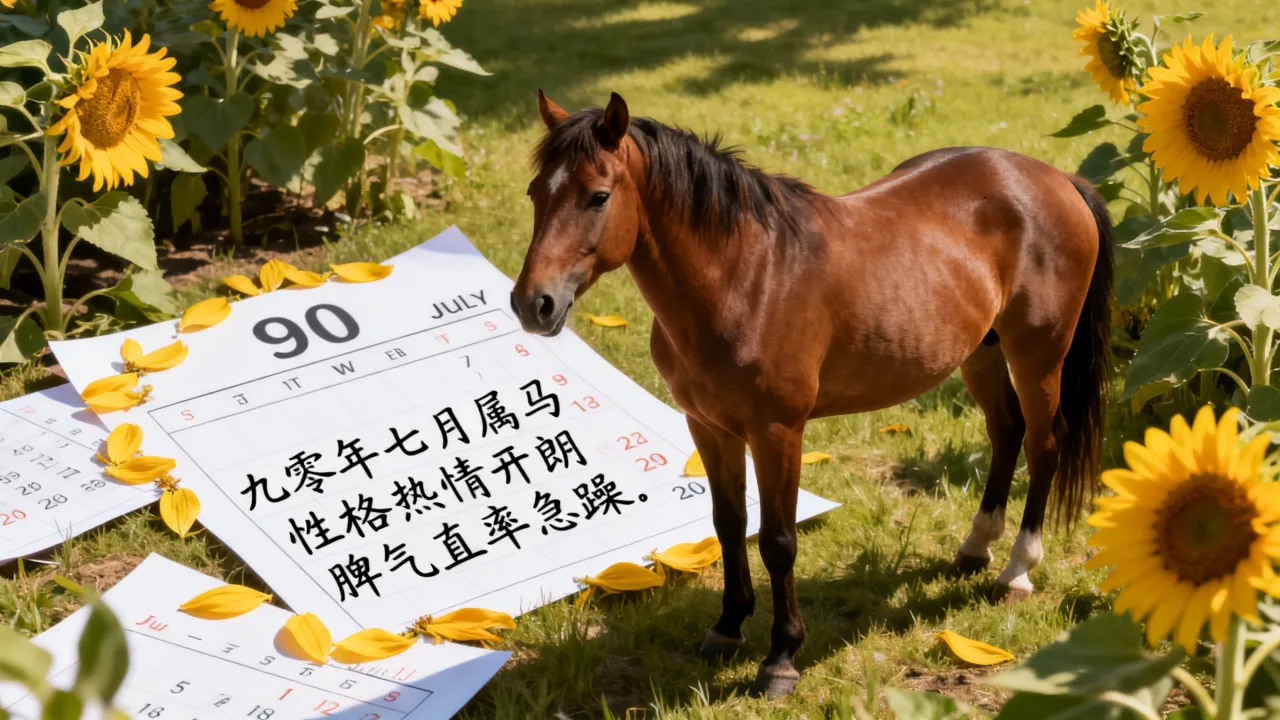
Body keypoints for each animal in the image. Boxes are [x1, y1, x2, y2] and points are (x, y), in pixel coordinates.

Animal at [510, 91, 1113, 698]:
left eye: (598, 196)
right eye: (536, 192)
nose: (533, 303)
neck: (745, 277)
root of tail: (1057, 179)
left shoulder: (777, 432)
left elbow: (778, 542)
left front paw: (780, 658)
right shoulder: (708, 425)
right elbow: (729, 524)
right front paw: (728, 627)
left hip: (1038, 354)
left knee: (1043, 444)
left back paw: (1016, 570)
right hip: (982, 351)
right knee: (1006, 431)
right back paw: (975, 547)